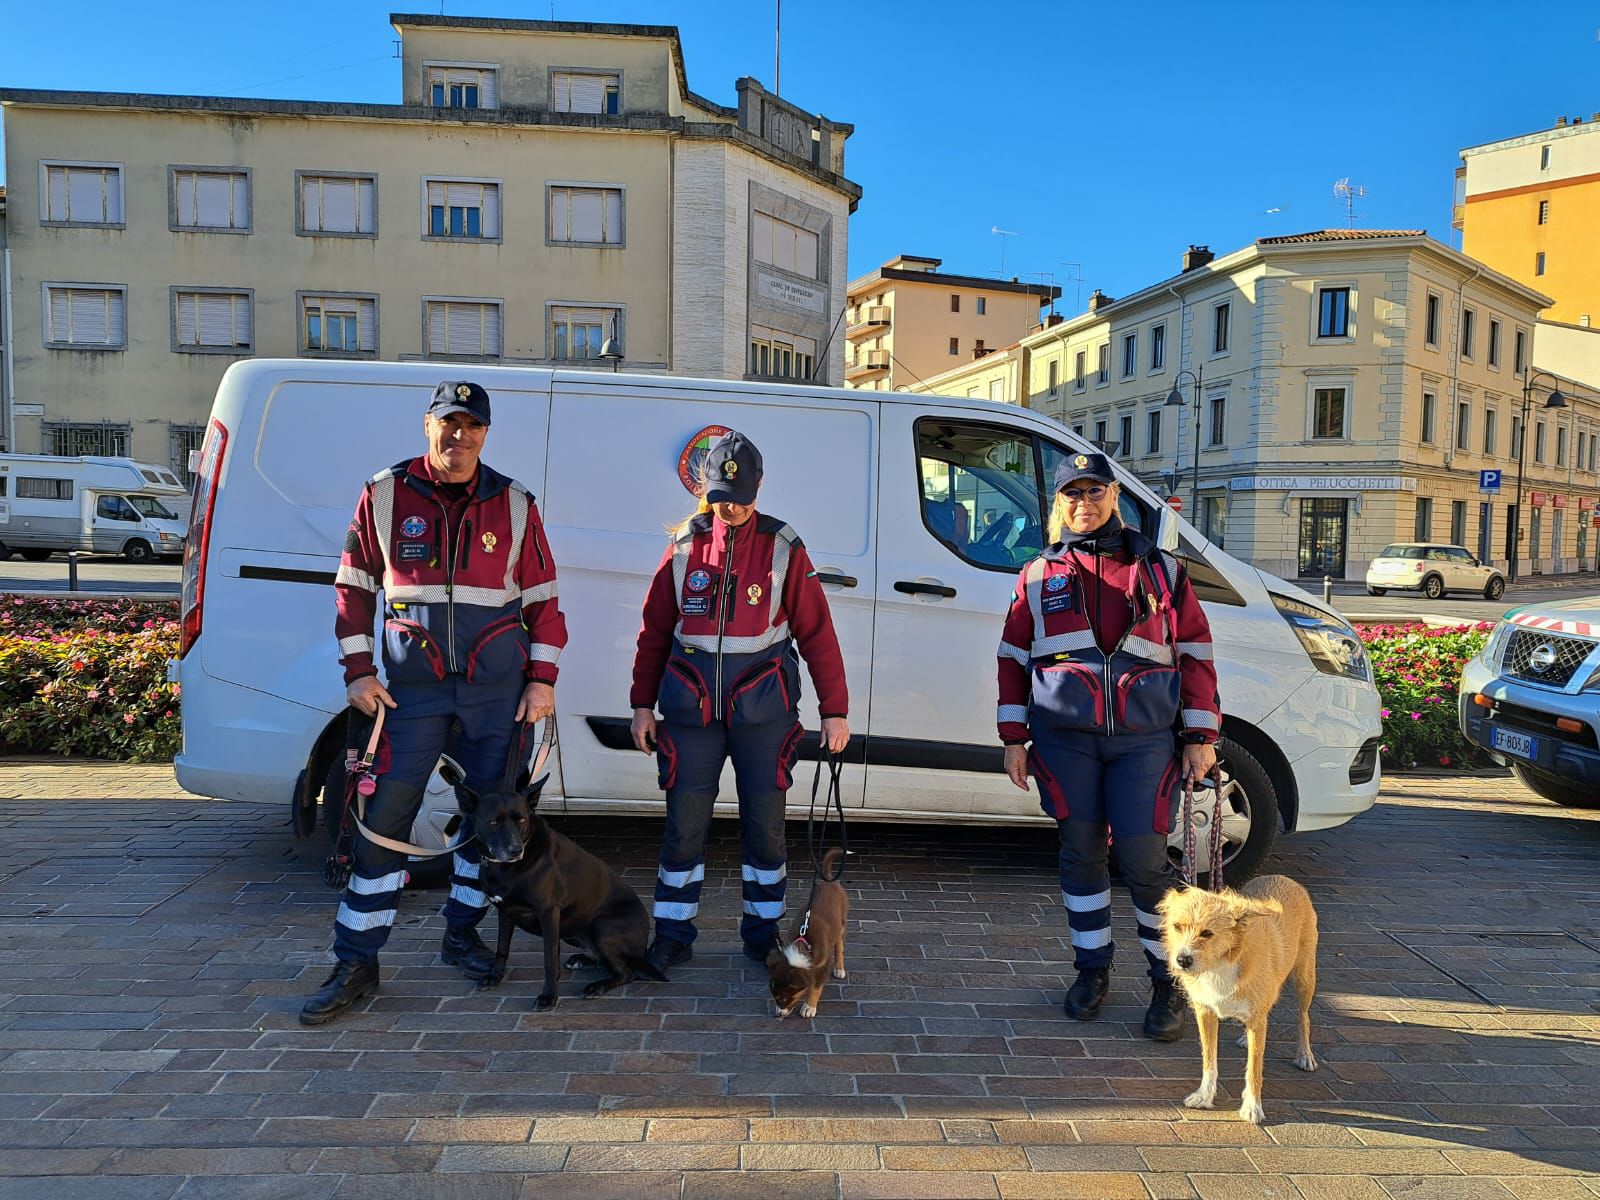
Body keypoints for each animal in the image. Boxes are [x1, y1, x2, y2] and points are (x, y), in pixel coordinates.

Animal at [435, 764, 665, 1011]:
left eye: (522, 820)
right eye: (493, 822)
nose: (515, 849)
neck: (508, 868)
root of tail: (643, 947)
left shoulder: (548, 913)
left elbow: (549, 960)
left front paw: (549, 996)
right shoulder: (505, 911)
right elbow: (502, 948)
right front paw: (494, 976)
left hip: (601, 926)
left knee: (625, 972)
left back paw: (597, 986)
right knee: (604, 960)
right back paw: (582, 959)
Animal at [764, 844, 851, 1024]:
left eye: (784, 998)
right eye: (774, 996)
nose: (777, 1015)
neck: (804, 944)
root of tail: (828, 881)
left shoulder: (823, 965)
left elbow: (816, 987)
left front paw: (809, 1008)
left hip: (841, 924)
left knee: (839, 947)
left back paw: (840, 969)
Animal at [1158, 876, 1318, 1126]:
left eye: (1207, 933)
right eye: (1177, 927)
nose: (1182, 960)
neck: (1220, 963)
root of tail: (1283, 878)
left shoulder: (1257, 1020)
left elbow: (1254, 1068)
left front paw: (1252, 1107)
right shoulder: (1206, 1012)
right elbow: (1209, 1060)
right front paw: (1204, 1096)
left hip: (1305, 977)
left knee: (1303, 1017)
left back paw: (1304, 1055)